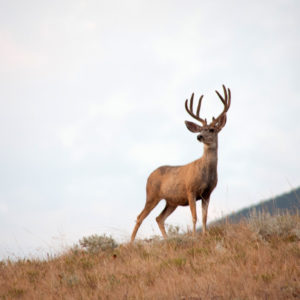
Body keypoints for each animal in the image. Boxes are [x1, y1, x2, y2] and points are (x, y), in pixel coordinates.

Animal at [130, 84, 231, 241]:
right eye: (200, 129)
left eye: (211, 129)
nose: (199, 136)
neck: (206, 172)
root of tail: (149, 176)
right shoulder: (191, 190)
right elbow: (194, 217)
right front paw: (195, 236)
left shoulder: (207, 193)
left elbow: (204, 217)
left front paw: (204, 235)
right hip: (152, 195)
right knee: (140, 217)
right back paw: (130, 242)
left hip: (171, 202)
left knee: (159, 218)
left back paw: (166, 239)